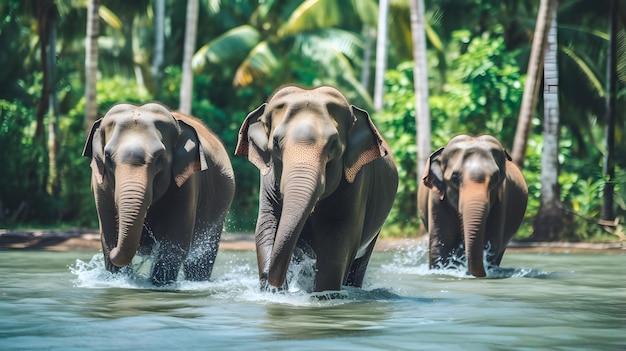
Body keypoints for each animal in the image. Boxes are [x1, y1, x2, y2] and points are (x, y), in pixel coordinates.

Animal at [80, 102, 232, 286]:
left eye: (160, 158)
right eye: (108, 157)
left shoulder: (188, 184)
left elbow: (173, 246)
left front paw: (159, 285)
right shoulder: (99, 184)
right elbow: (109, 239)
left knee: (201, 259)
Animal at [232, 86, 398, 294]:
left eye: (333, 144)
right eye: (276, 143)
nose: (276, 281)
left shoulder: (356, 183)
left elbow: (338, 239)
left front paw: (323, 294)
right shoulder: (267, 181)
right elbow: (266, 226)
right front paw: (274, 292)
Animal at [416, 135, 524, 278]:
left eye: (495, 178)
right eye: (455, 177)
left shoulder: (502, 200)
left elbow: (491, 244)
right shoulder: (436, 200)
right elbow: (440, 245)